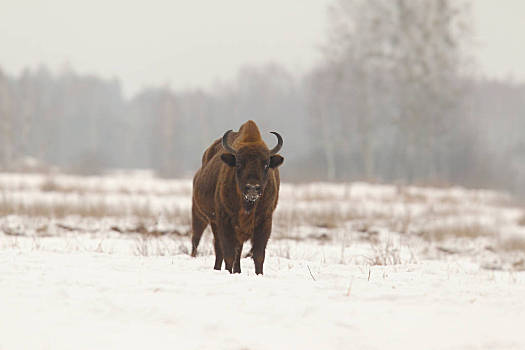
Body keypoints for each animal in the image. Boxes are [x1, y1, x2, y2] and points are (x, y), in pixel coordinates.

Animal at [190, 121, 284, 274]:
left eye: (266, 165)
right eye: (239, 163)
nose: (252, 188)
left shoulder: (265, 221)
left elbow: (258, 254)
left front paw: (259, 274)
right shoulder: (225, 221)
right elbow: (228, 253)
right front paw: (229, 272)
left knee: (235, 250)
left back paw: (237, 270)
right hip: (204, 217)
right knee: (212, 246)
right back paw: (217, 269)